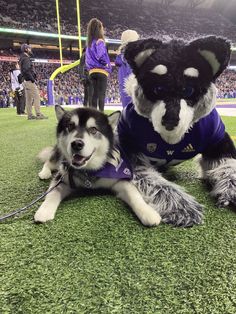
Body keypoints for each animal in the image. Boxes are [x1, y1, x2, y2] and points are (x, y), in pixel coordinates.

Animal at [118, 35, 236, 227]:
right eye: (158, 89)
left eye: (188, 90)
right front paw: (181, 207)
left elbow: (227, 162)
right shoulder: (130, 142)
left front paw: (231, 191)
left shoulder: (215, 135)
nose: (170, 120)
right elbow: (149, 178)